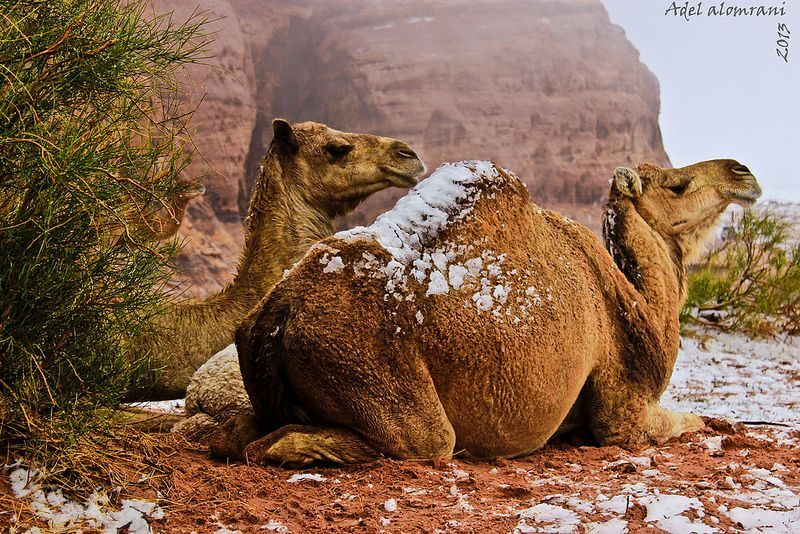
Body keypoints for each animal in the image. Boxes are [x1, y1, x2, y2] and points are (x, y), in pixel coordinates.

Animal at [212, 157, 764, 466]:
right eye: (676, 185)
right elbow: (691, 420)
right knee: (421, 441)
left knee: (237, 432)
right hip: (371, 373)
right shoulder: (621, 409)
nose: (743, 172)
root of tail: (275, 314)